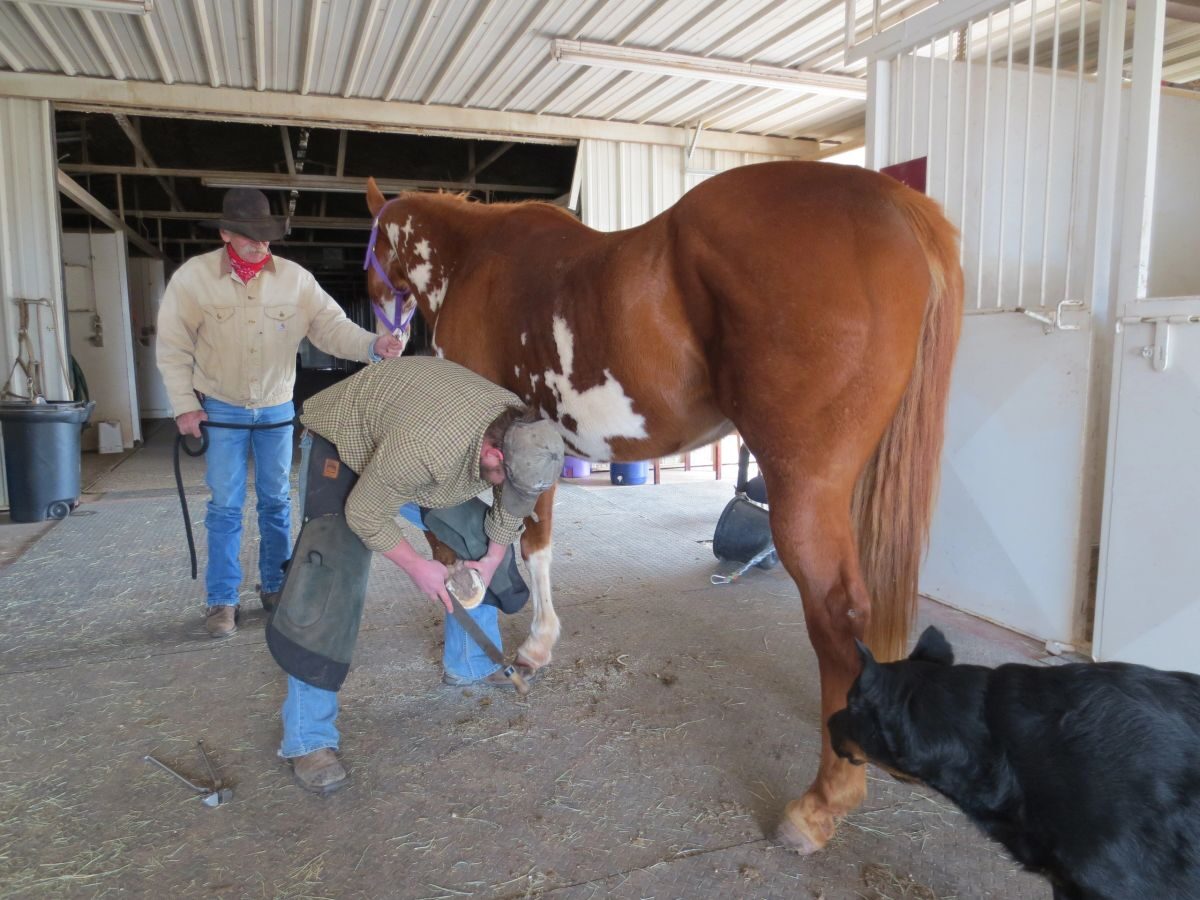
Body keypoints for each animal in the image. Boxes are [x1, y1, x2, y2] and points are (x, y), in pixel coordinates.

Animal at [362, 160, 963, 854]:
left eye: (369, 254)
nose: (384, 340)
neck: (474, 256)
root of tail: (892, 202)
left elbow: (489, 539)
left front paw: (494, 621)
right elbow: (536, 545)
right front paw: (537, 641)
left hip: (806, 489)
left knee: (839, 618)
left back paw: (818, 808)